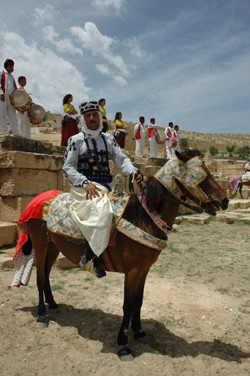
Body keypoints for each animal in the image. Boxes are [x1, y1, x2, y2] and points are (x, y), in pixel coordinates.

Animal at [16, 150, 229, 358]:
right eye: (202, 173)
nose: (224, 199)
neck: (145, 219)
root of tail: (39, 199)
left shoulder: (144, 270)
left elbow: (138, 301)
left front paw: (138, 331)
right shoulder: (132, 271)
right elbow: (128, 305)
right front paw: (123, 344)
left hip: (53, 246)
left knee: (46, 273)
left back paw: (52, 304)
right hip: (41, 244)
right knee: (40, 276)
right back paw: (42, 315)